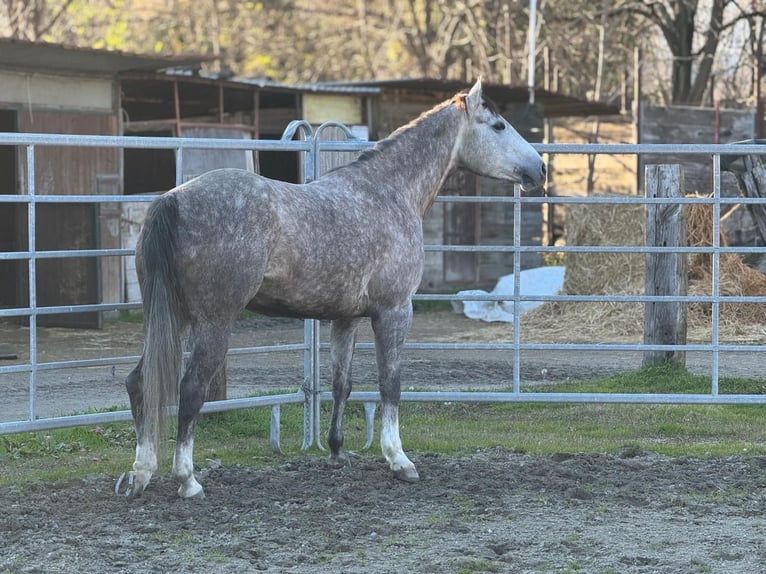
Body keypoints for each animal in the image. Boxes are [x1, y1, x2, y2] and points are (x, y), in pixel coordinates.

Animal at [115, 79, 546, 499]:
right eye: (498, 126)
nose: (540, 168)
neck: (389, 191)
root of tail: (173, 200)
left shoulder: (346, 319)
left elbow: (343, 384)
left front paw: (337, 450)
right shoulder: (394, 312)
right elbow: (390, 385)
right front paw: (399, 460)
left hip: (171, 317)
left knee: (139, 382)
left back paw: (140, 474)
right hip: (213, 323)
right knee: (190, 390)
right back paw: (187, 480)